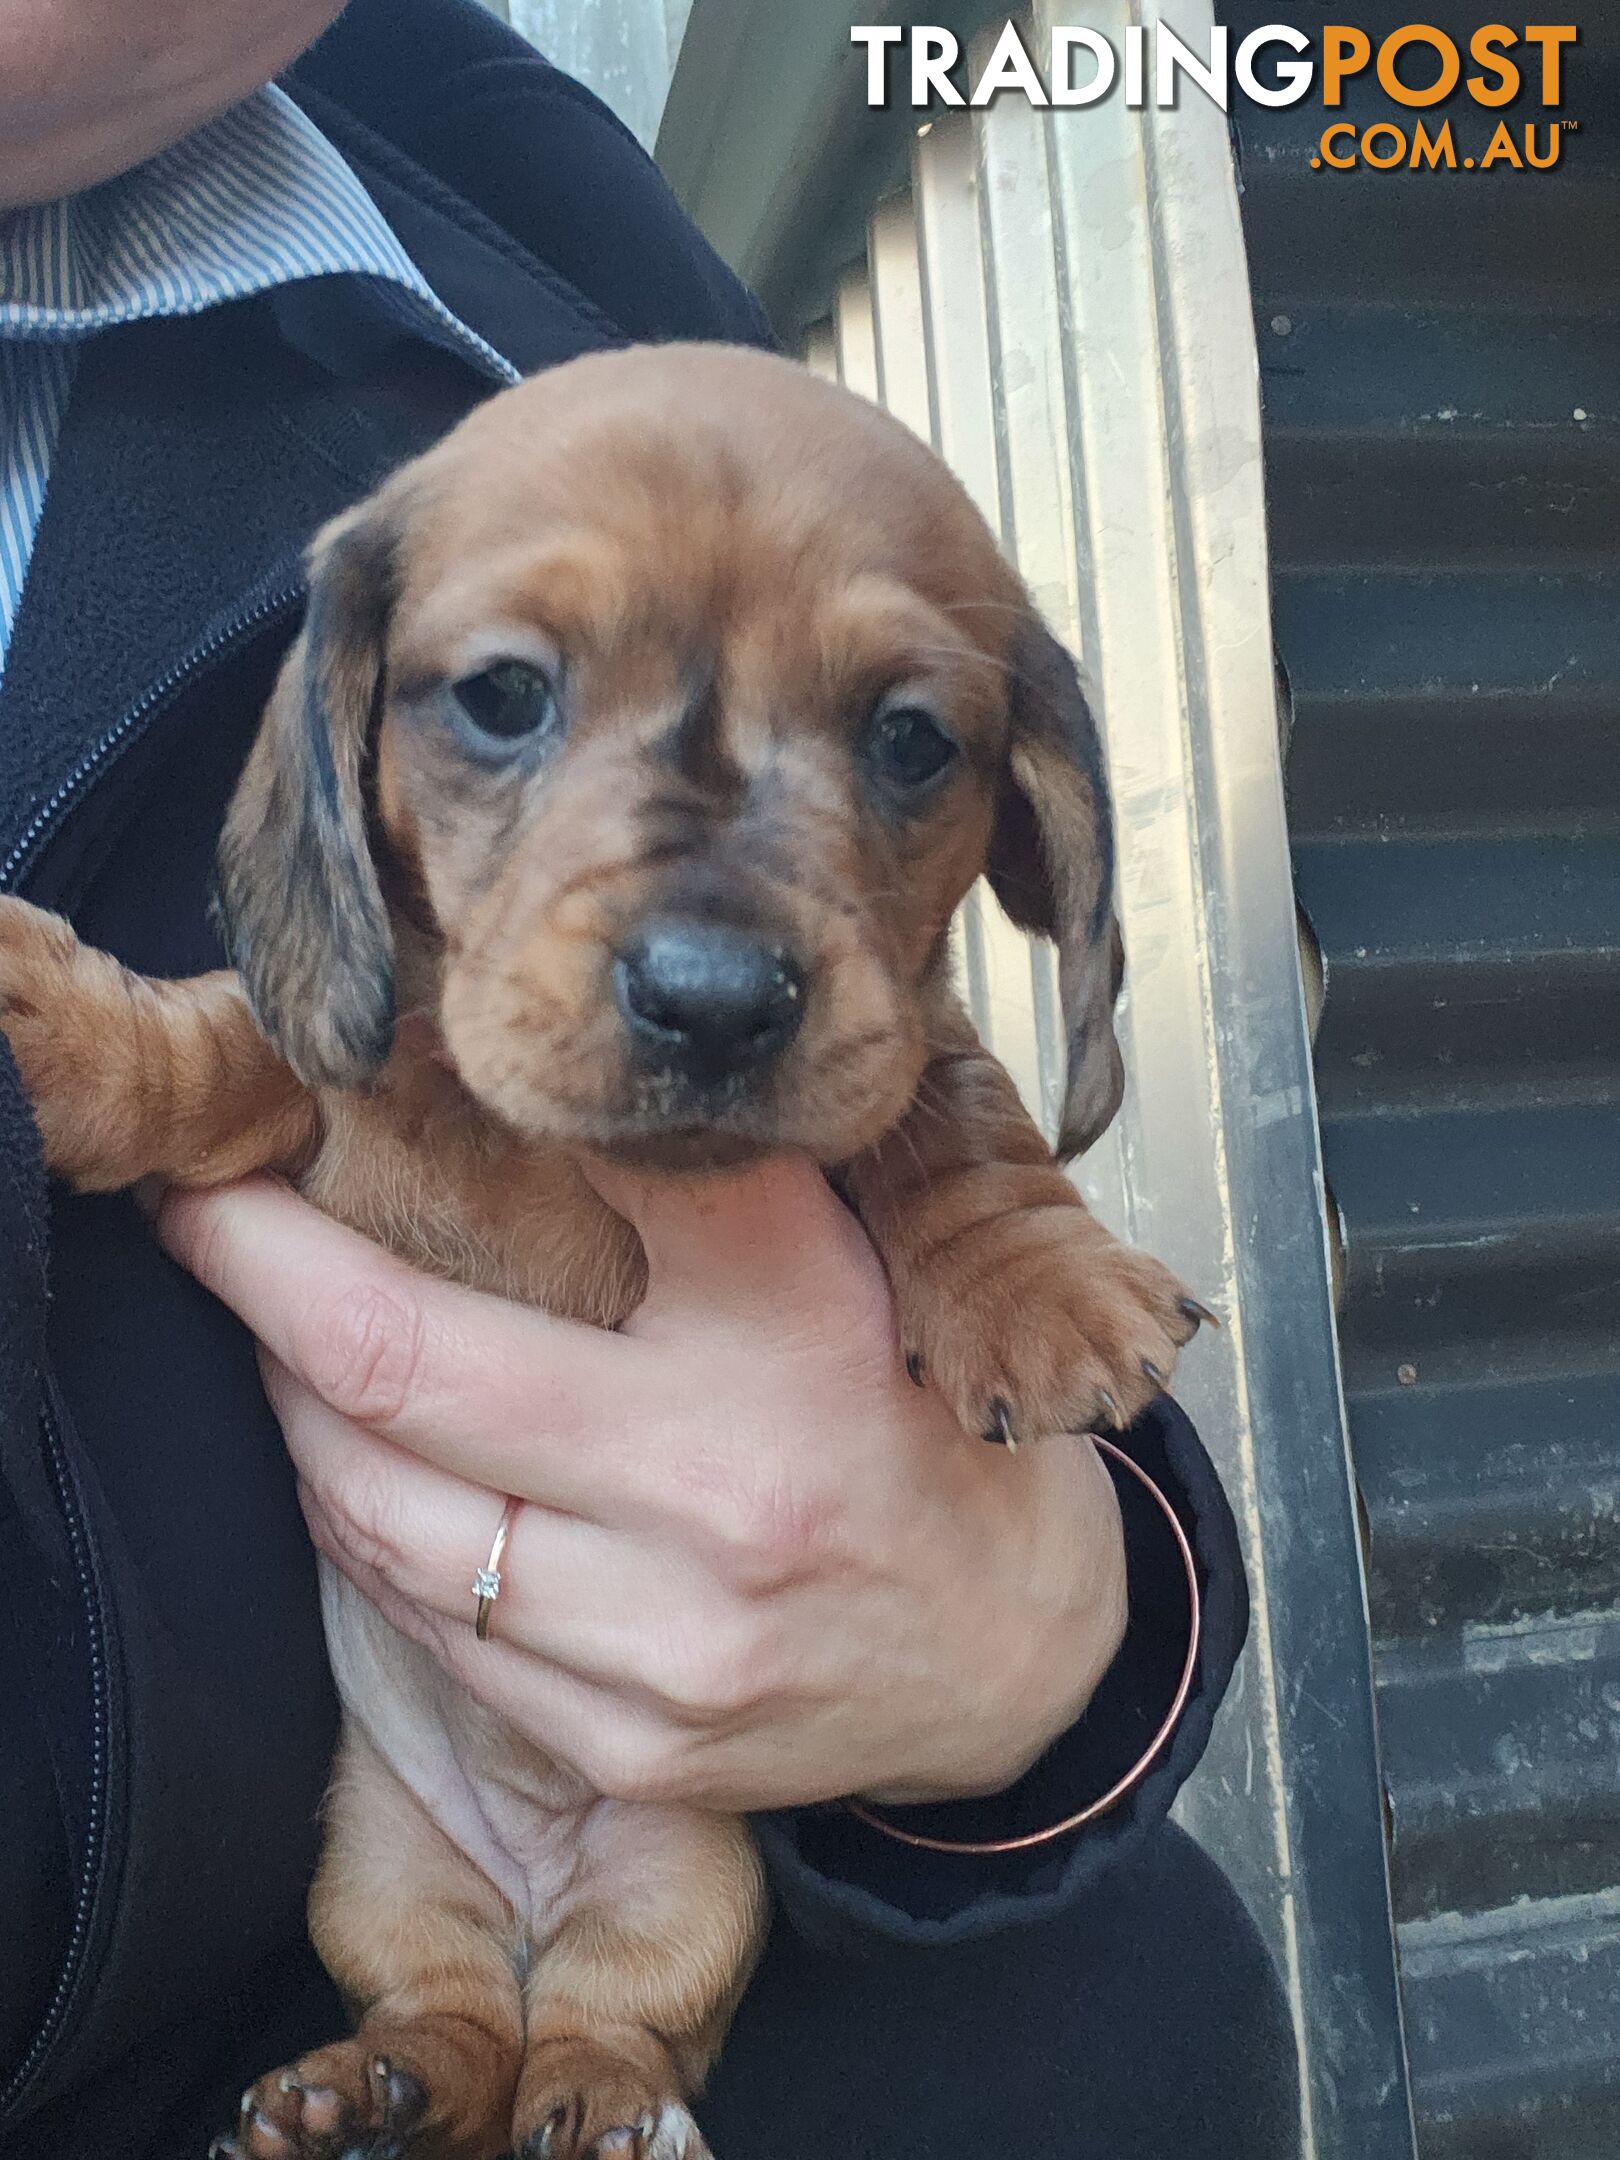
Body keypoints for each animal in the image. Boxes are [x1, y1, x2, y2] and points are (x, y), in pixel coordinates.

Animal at [0, 345, 1209, 2151]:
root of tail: (529, 1897)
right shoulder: (320, 1087)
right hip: (379, 1876)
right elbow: (220, 1044)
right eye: (503, 696)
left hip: (691, 1887)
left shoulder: (903, 1047)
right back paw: (359, 2092)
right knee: (449, 2023)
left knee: (596, 2031)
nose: (712, 998)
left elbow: (951, 1116)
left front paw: (1035, 1281)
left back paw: (601, 2104)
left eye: (912, 739)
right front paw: (71, 1034)